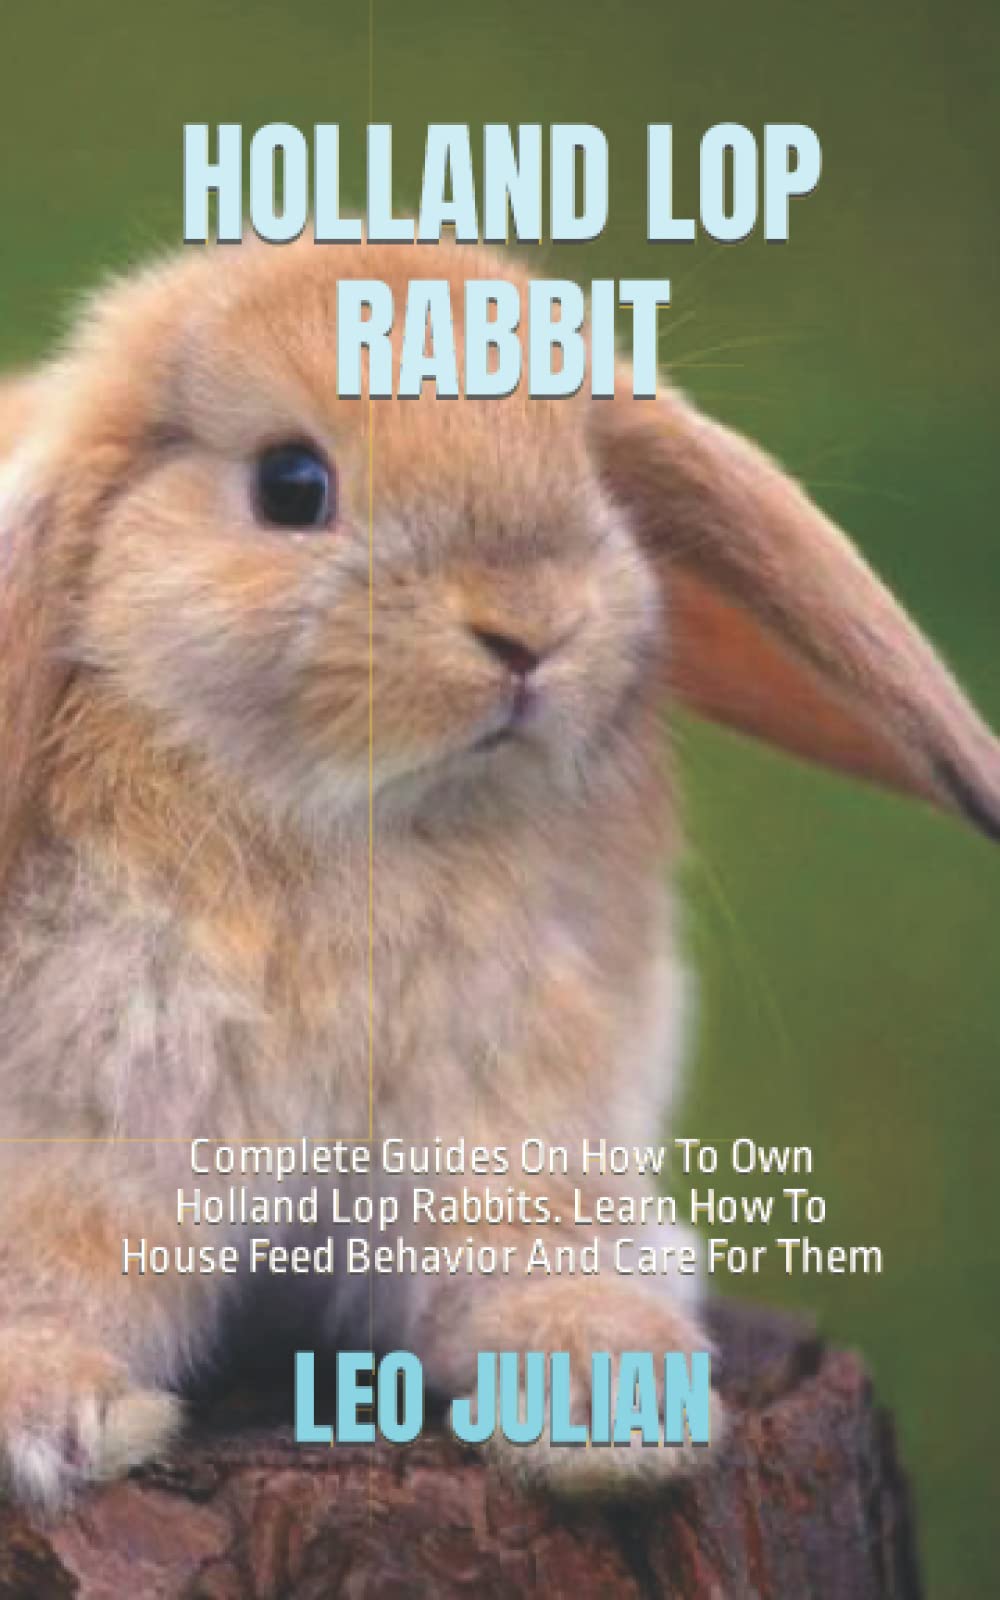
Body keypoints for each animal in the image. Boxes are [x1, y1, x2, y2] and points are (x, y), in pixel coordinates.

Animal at [0, 236, 998, 1514]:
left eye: (588, 473)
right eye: (290, 484)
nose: (530, 629)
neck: (373, 825)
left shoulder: (515, 1122)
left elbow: (526, 1253)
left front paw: (613, 1399)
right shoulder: (97, 1127)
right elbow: (68, 1264)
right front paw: (46, 1414)